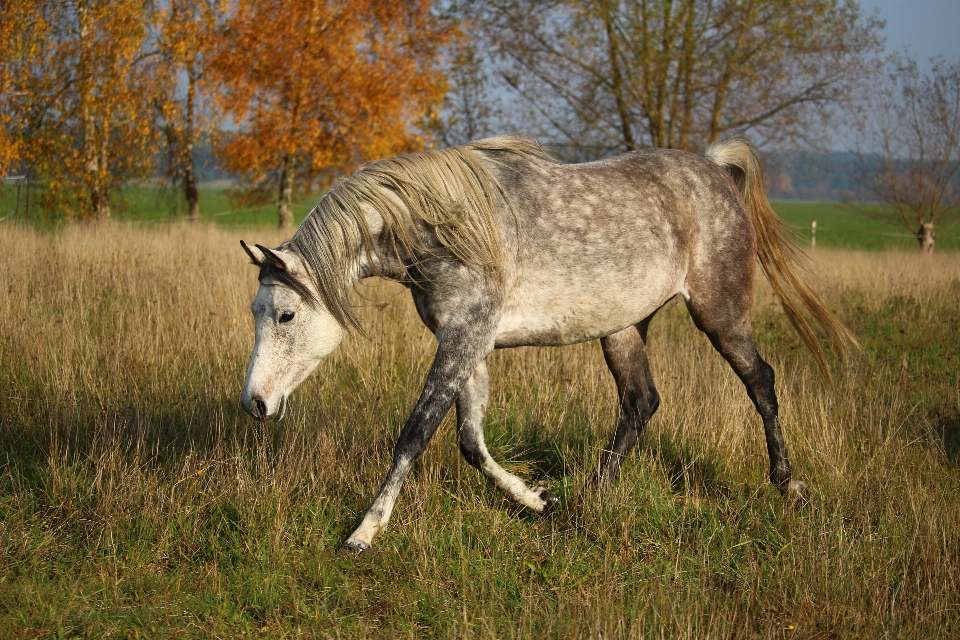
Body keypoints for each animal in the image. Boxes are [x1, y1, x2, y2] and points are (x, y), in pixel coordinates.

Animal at [240, 134, 856, 552]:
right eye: (256, 312)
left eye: (287, 314)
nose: (255, 404)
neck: (448, 227)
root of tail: (714, 169)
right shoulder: (469, 346)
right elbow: (471, 443)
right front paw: (540, 500)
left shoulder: (463, 341)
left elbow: (415, 433)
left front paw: (364, 532)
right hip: (623, 329)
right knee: (640, 402)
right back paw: (589, 498)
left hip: (720, 313)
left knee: (760, 382)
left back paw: (786, 483)